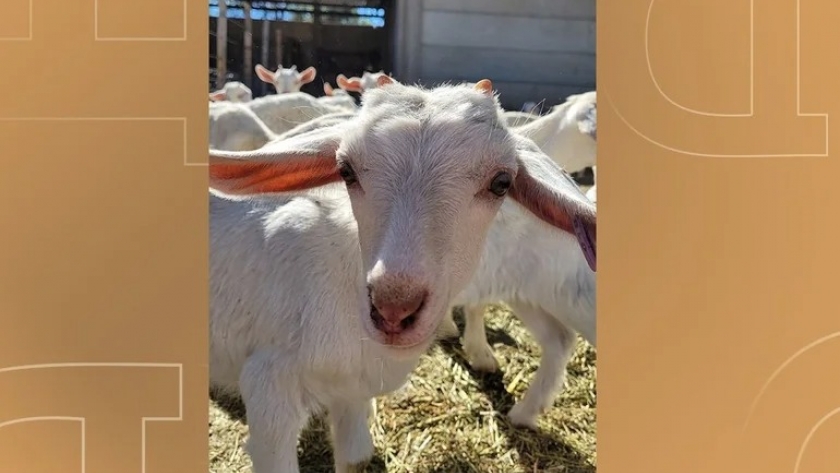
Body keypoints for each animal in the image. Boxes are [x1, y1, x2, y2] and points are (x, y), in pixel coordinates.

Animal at [207, 76, 592, 472]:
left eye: (502, 183)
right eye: (346, 171)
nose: (394, 309)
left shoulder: (350, 393)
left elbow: (355, 457)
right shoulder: (271, 390)